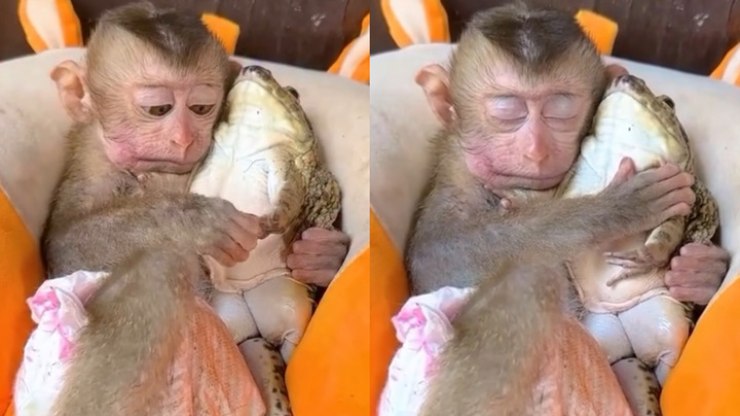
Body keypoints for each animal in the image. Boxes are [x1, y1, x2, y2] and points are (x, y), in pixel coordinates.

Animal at [403, 4, 709, 415]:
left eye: (560, 110)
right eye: (507, 112)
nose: (535, 149)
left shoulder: (680, 184)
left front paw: (695, 268)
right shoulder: (452, 184)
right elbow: (436, 259)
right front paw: (617, 207)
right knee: (529, 280)